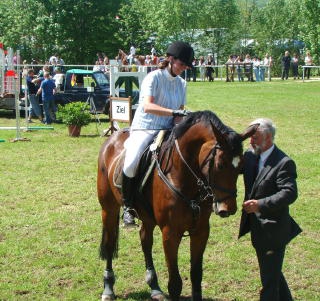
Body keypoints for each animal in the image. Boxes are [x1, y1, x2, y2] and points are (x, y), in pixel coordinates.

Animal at [97, 110, 258, 300]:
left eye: (241, 167)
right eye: (220, 165)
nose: (229, 209)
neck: (183, 176)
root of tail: (112, 138)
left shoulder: (201, 231)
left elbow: (196, 275)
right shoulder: (170, 234)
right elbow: (175, 283)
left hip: (147, 217)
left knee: (145, 241)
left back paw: (154, 287)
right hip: (108, 209)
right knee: (109, 243)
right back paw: (108, 288)